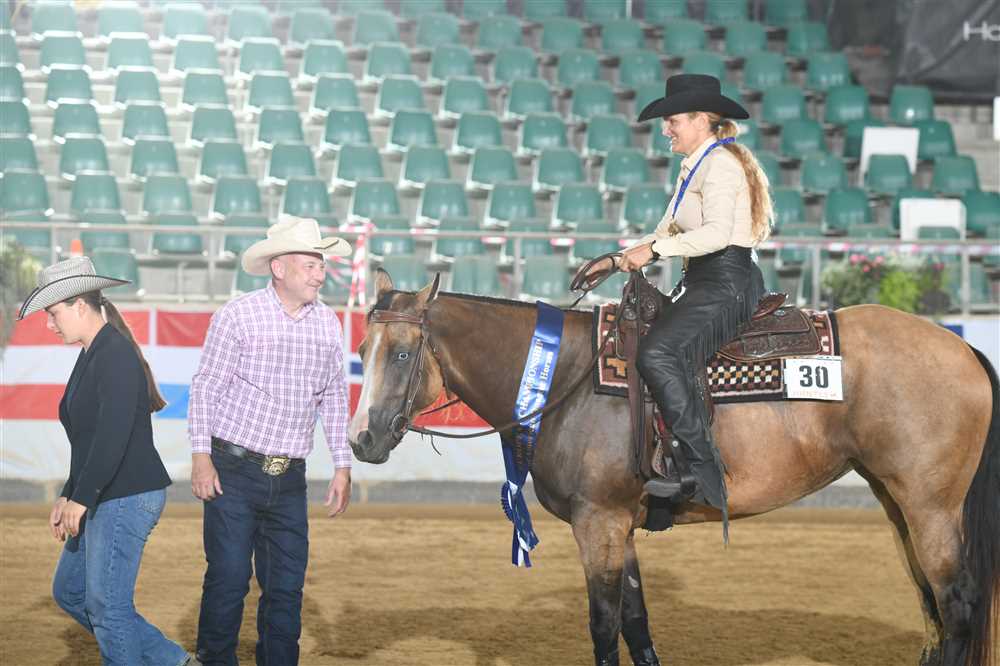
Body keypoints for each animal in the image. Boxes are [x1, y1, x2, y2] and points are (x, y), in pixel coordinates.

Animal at [347, 269, 999, 666]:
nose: (361, 439)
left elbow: (603, 625)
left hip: (931, 506)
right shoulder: (621, 528)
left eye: (401, 354)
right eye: (361, 351)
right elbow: (636, 624)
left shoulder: (599, 524)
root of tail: (961, 347)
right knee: (932, 608)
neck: (567, 377)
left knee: (958, 603)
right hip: (897, 503)